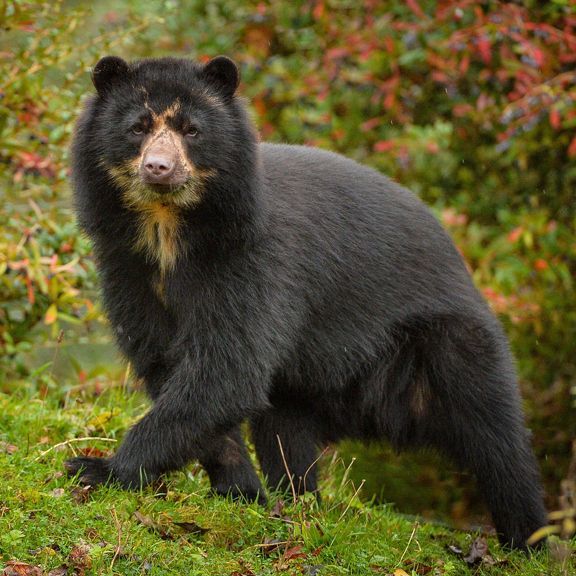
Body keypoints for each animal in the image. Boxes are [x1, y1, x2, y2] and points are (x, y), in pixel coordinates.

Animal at [65, 54, 548, 548]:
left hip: (446, 342)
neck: (169, 230)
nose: (159, 168)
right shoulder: (129, 267)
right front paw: (239, 490)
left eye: (192, 130)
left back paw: (526, 537)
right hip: (305, 379)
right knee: (286, 430)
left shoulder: (253, 261)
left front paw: (97, 468)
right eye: (138, 127)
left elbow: (226, 370)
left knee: (494, 436)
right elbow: (170, 364)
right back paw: (296, 500)